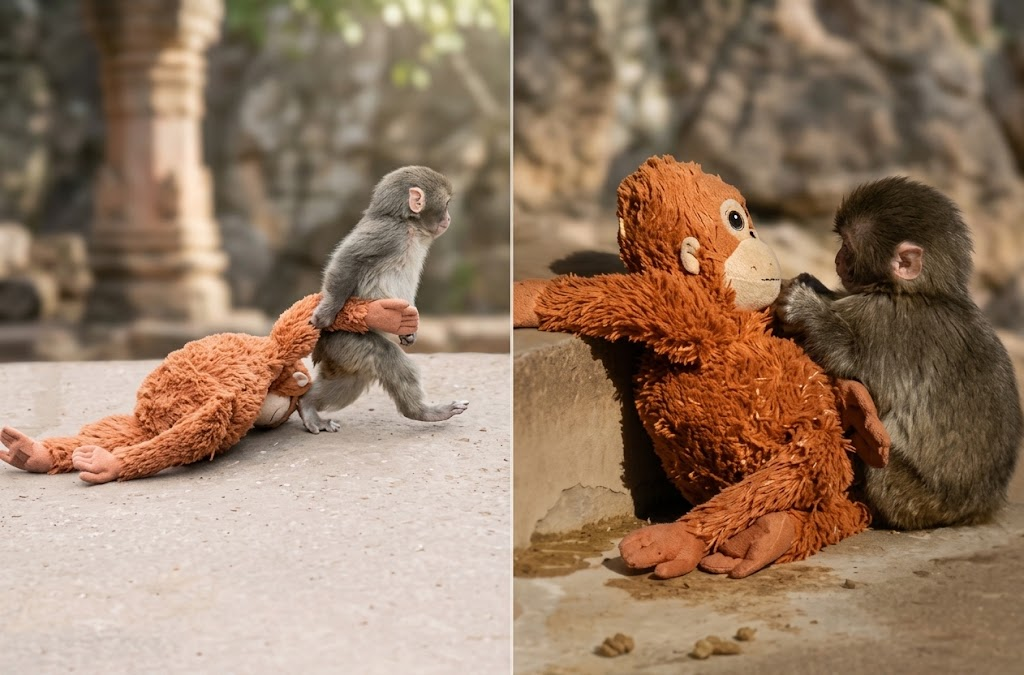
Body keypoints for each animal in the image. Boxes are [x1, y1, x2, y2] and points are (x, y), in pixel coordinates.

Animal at [299, 166, 469, 434]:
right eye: (447, 204)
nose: (449, 218)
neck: (408, 225)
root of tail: (323, 349)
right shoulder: (388, 234)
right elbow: (349, 259)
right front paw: (326, 312)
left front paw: (409, 333)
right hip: (344, 340)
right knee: (385, 357)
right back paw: (423, 412)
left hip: (342, 355)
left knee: (350, 382)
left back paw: (308, 402)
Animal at [775, 176, 1024, 530]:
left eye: (847, 247)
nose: (836, 259)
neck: (920, 292)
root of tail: (980, 507)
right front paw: (815, 287)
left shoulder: (886, 322)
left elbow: (855, 368)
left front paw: (805, 306)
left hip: (917, 501)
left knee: (879, 461)